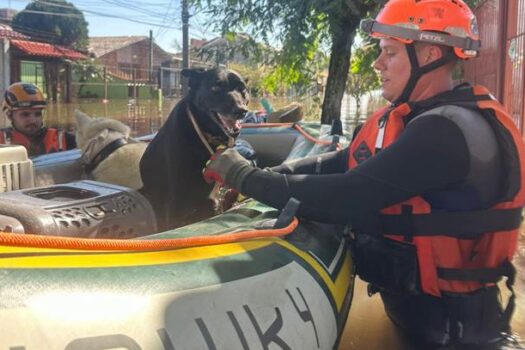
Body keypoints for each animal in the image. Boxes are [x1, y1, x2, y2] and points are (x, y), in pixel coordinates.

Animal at [139, 68, 250, 232]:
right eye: (215, 88)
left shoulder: (211, 201)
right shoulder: (174, 203)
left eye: (242, 89)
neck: (206, 135)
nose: (241, 110)